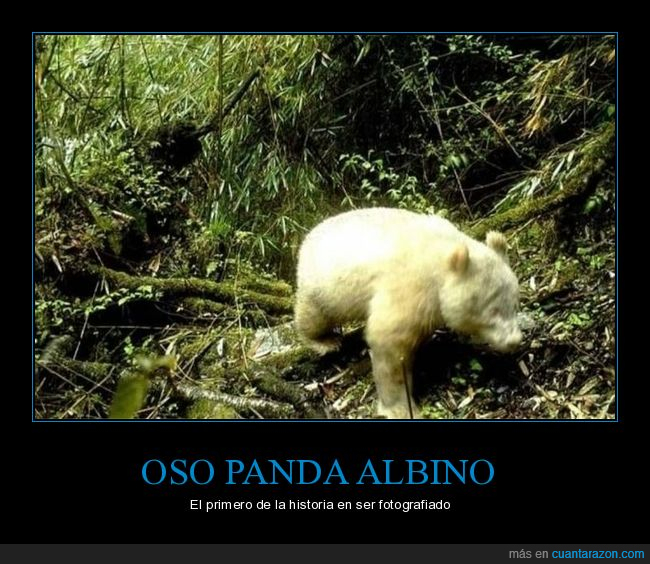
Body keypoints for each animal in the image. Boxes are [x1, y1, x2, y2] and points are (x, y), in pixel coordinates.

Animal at [294, 207, 522, 419]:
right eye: (493, 311)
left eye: (514, 304)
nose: (514, 340)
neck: (441, 257)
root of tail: (308, 236)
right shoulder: (410, 286)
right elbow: (389, 342)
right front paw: (400, 407)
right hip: (322, 284)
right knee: (314, 315)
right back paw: (325, 341)